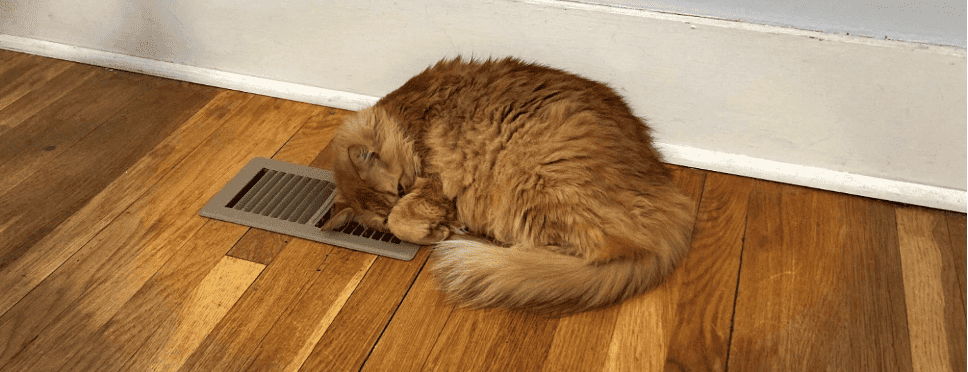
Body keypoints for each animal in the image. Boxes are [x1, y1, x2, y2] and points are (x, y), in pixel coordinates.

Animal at [324, 57, 696, 314]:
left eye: (401, 188)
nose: (406, 192)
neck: (408, 115)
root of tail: (669, 198)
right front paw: (438, 226)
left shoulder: (434, 183)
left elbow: (404, 219)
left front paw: (437, 229)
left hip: (538, 185)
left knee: (593, 252)